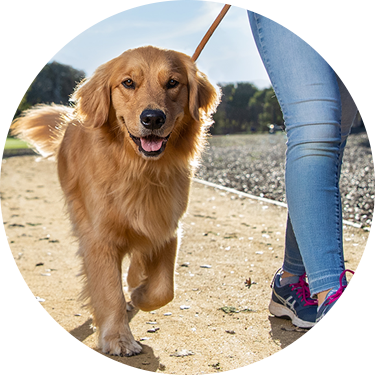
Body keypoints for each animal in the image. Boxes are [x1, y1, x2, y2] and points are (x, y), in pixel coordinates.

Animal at [10, 45, 220, 356]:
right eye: (128, 83)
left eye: (173, 83)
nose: (153, 118)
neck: (140, 170)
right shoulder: (99, 237)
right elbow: (109, 290)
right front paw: (119, 338)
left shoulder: (167, 226)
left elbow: (164, 288)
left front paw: (139, 292)